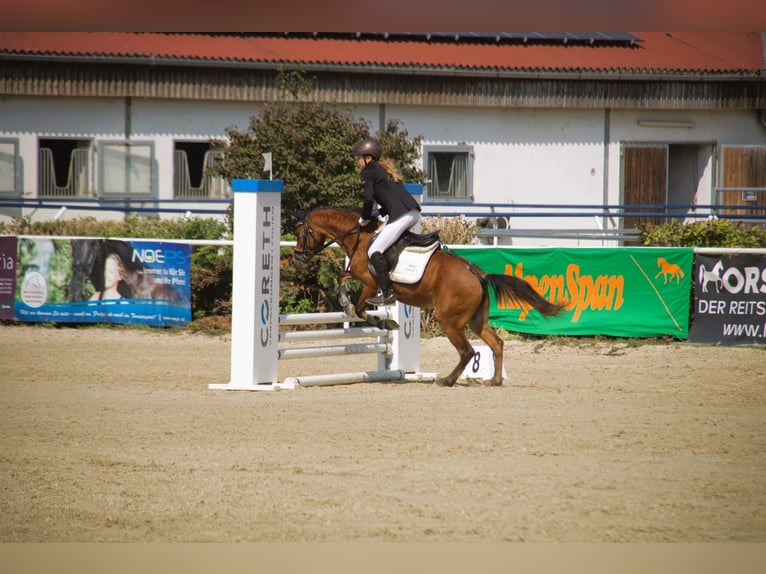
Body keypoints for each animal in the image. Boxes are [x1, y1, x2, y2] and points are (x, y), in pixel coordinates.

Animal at [292, 205, 568, 390]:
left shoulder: (370, 283)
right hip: (475, 320)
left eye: (300, 233)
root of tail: (478, 275)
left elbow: (360, 308)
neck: (360, 237)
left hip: (449, 320)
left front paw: (383, 320)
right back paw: (495, 380)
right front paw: (349, 303)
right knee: (496, 343)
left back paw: (447, 380)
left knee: (467, 351)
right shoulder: (359, 277)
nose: (297, 260)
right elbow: (342, 278)